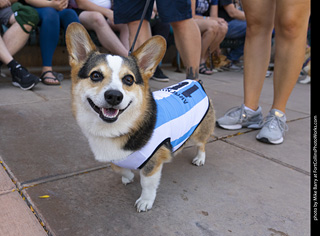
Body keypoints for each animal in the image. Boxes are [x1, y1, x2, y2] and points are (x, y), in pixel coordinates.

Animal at [65, 23, 215, 213]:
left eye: (129, 79)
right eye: (95, 75)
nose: (114, 96)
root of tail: (196, 83)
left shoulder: (153, 163)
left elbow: (147, 184)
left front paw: (145, 201)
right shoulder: (114, 157)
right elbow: (118, 168)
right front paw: (128, 176)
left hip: (198, 132)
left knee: (202, 144)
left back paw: (199, 158)